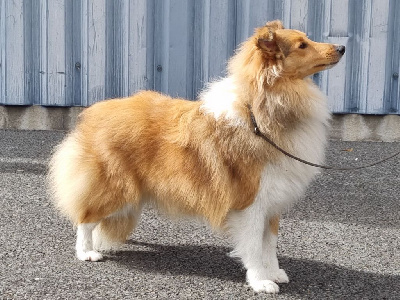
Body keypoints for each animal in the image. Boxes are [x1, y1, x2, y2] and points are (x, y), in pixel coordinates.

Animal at [49, 19, 344, 292]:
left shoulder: (272, 202)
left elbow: (269, 245)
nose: (341, 48)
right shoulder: (250, 202)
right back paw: (86, 252)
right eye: (302, 45)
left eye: (307, 39)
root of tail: (93, 114)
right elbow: (252, 246)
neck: (261, 114)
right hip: (115, 186)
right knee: (85, 217)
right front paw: (260, 281)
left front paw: (274, 273)